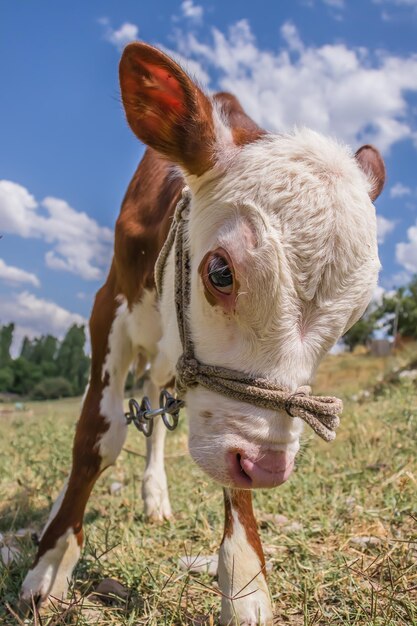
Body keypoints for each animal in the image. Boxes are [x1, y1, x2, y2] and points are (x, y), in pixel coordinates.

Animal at [19, 44, 384, 624]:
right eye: (219, 273)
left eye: (354, 315)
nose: (268, 467)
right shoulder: (107, 308)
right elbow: (97, 435)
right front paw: (51, 564)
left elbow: (224, 472)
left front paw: (247, 582)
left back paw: (155, 495)